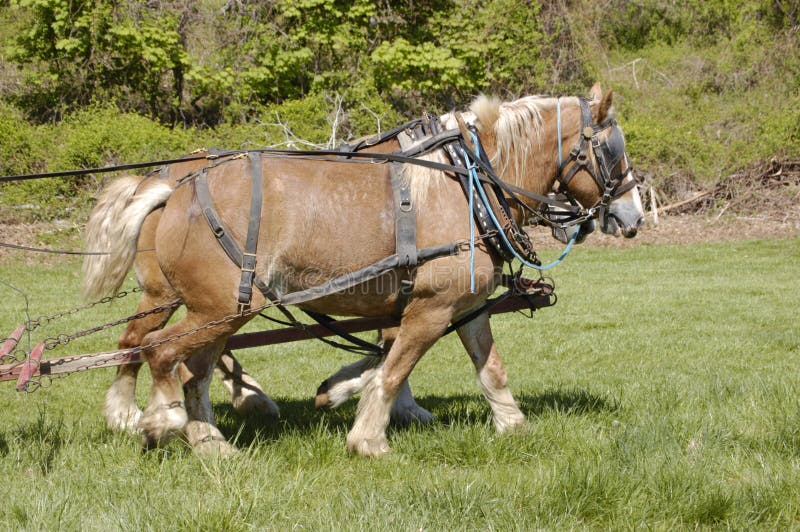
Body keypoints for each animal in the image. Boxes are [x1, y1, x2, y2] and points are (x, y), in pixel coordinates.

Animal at [84, 83, 644, 456]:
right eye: (612, 149)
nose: (634, 216)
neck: (467, 182)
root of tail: (172, 188)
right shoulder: (430, 309)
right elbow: (393, 369)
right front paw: (368, 437)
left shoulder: (462, 304)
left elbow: (488, 367)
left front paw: (512, 425)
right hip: (216, 305)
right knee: (160, 352)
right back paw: (158, 419)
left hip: (204, 305)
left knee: (177, 360)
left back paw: (200, 436)